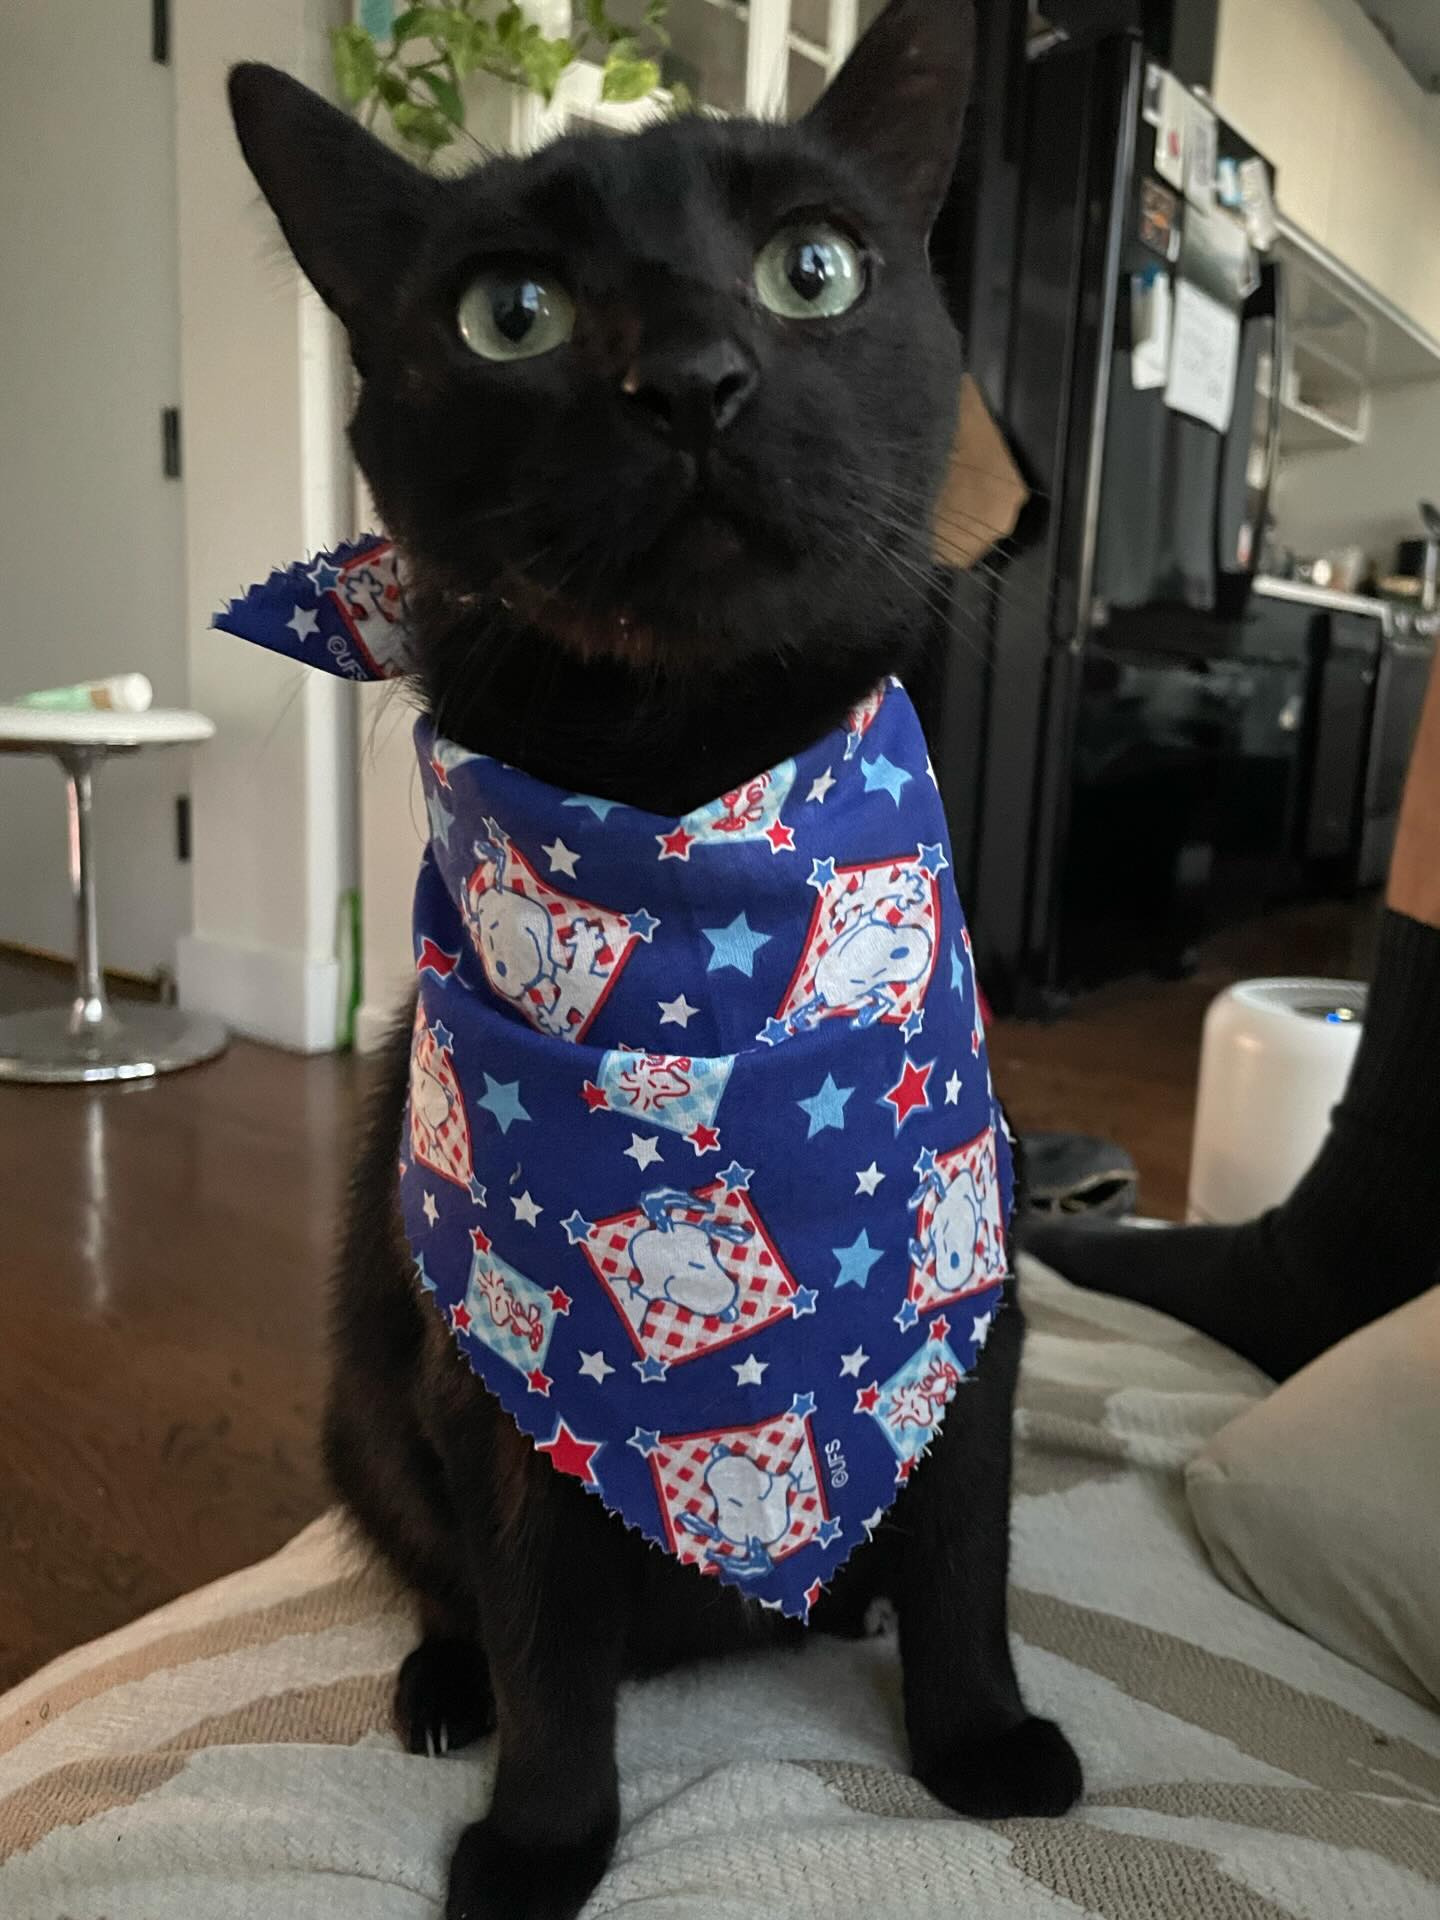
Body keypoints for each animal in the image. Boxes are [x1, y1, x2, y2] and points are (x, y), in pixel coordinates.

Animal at [225, 7, 1082, 1912]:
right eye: (510, 313)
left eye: (814, 269)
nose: (693, 377)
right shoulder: (507, 1388)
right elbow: (545, 1630)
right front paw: (545, 1841)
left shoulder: (968, 1316)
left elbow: (969, 1562)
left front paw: (979, 1744)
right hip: (355, 1415)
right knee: (446, 1584)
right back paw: (440, 1684)